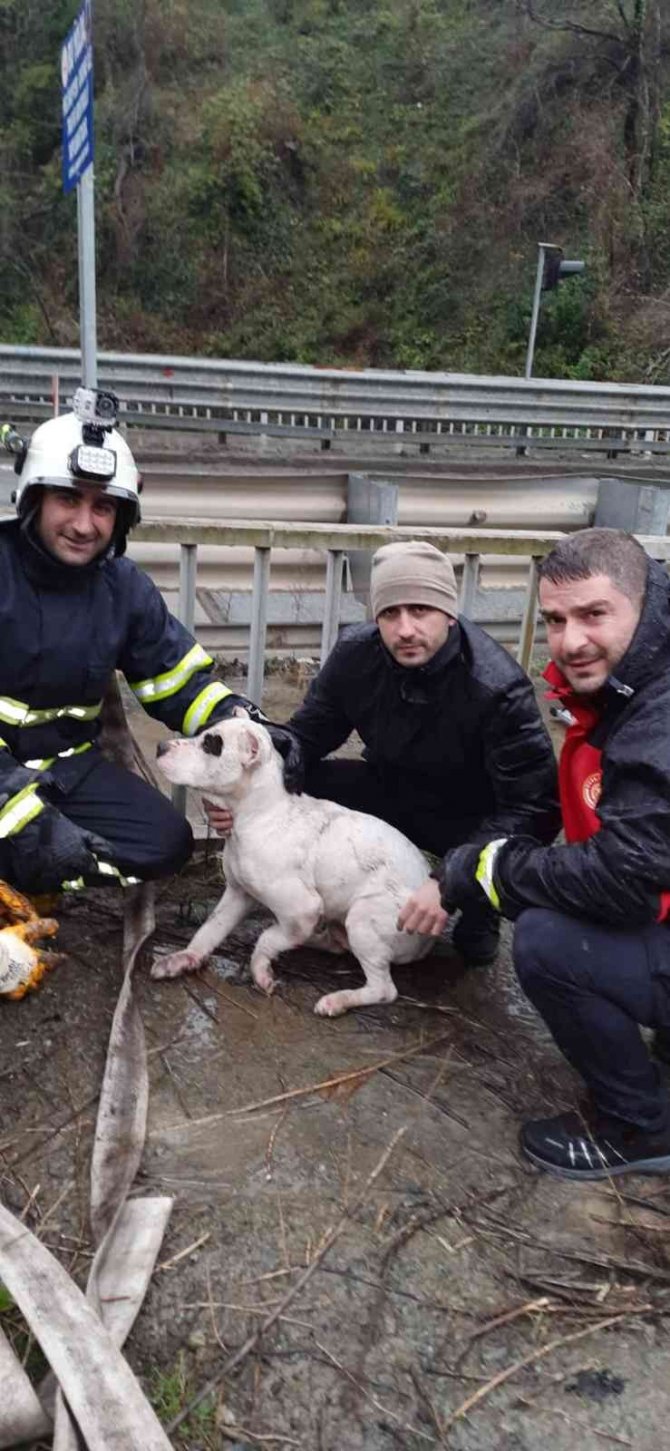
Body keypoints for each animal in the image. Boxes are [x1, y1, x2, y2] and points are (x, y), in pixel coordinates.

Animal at [150, 719, 435, 1015]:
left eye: (211, 744)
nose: (161, 747)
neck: (261, 814)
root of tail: (429, 941)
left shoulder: (301, 910)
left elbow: (267, 937)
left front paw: (261, 970)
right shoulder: (237, 894)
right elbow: (209, 930)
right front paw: (185, 957)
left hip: (364, 917)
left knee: (383, 989)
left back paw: (337, 1000)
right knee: (336, 944)